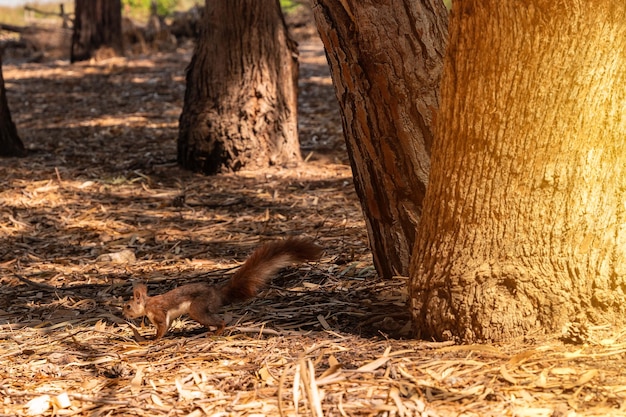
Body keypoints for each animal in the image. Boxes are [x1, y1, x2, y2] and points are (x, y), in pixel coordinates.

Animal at [120, 237, 322, 338]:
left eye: (128, 306)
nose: (123, 314)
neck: (146, 305)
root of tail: (217, 292)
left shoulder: (158, 312)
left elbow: (161, 328)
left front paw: (153, 340)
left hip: (197, 308)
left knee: (220, 320)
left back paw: (217, 331)